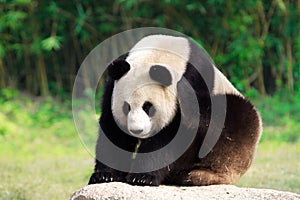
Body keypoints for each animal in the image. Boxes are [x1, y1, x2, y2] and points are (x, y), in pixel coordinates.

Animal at [88, 34, 262, 186]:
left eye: (148, 107)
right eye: (126, 107)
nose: (137, 130)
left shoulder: (192, 86)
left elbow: (171, 138)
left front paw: (143, 177)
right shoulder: (113, 87)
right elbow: (112, 130)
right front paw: (105, 175)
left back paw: (197, 175)